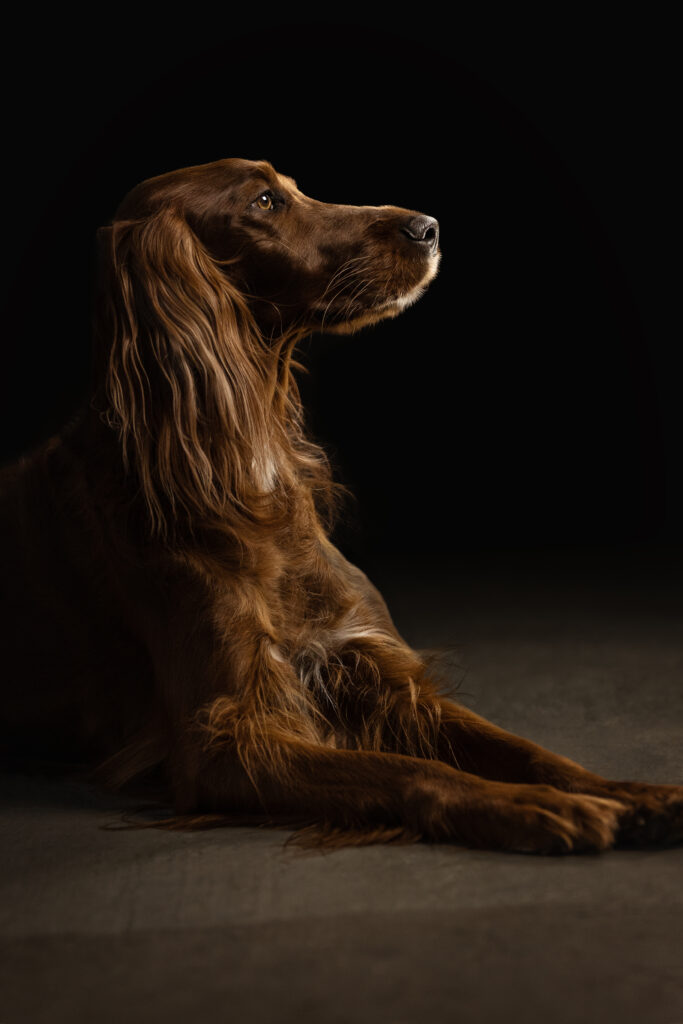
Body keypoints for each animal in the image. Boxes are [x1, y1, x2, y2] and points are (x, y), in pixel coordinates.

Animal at [2, 157, 679, 847]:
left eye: (294, 188)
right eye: (265, 202)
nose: (428, 227)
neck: (248, 468)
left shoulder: (371, 664)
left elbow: (523, 749)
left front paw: (631, 793)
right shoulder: (226, 741)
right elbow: (405, 770)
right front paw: (533, 807)